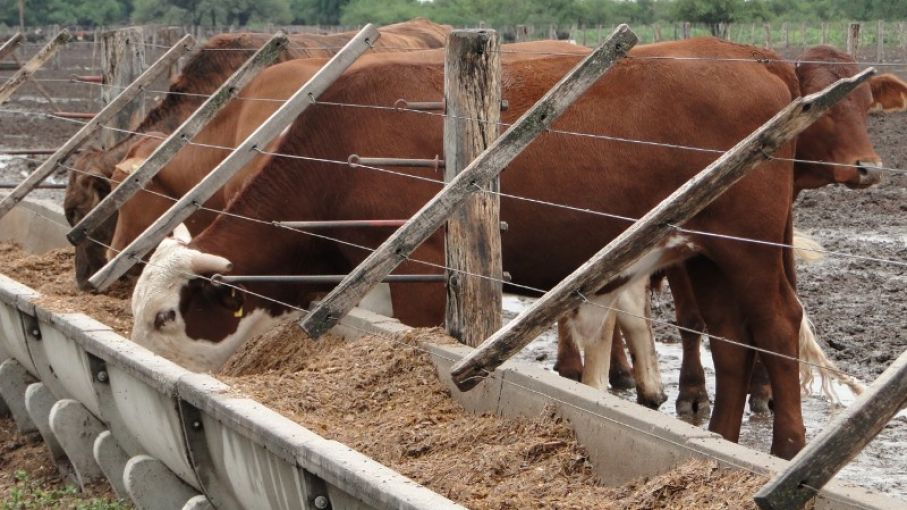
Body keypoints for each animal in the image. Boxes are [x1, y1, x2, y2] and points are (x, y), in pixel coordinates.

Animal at [127, 37, 828, 456]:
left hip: (747, 242)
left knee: (776, 324)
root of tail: (750, 57)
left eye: (165, 316)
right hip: (704, 251)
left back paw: (787, 446)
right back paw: (723, 436)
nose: (136, 366)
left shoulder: (419, 272)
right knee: (730, 339)